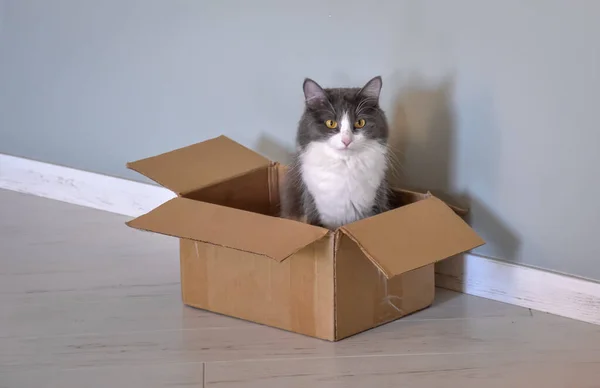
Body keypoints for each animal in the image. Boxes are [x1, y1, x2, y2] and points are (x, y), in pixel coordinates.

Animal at [282, 76, 394, 230]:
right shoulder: (316, 210)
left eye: (360, 122)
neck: (345, 166)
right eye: (331, 123)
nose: (346, 140)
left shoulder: (375, 202)